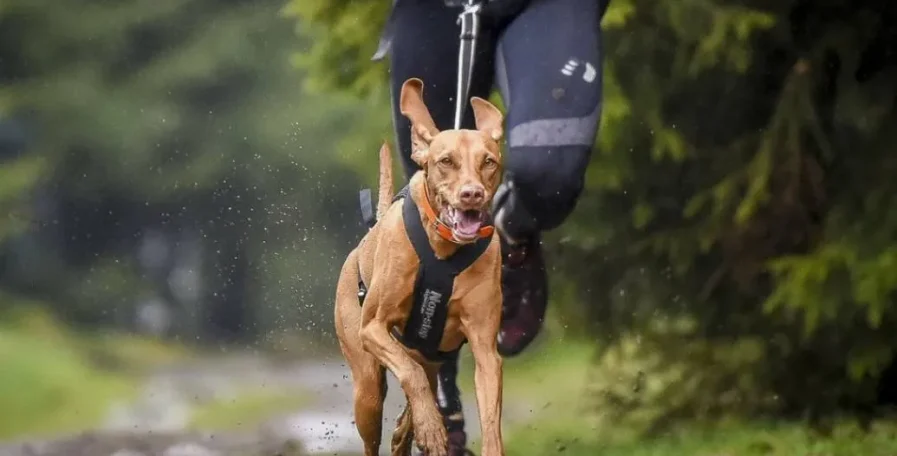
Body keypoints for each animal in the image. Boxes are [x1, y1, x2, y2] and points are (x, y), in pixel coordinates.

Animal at [334, 78, 504, 456]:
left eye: (488, 162)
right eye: (446, 161)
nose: (472, 194)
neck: (444, 250)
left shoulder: (486, 348)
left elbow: (490, 418)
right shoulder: (373, 328)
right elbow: (410, 377)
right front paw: (430, 427)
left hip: (431, 353)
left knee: (419, 385)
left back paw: (407, 432)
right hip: (367, 387)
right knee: (384, 414)